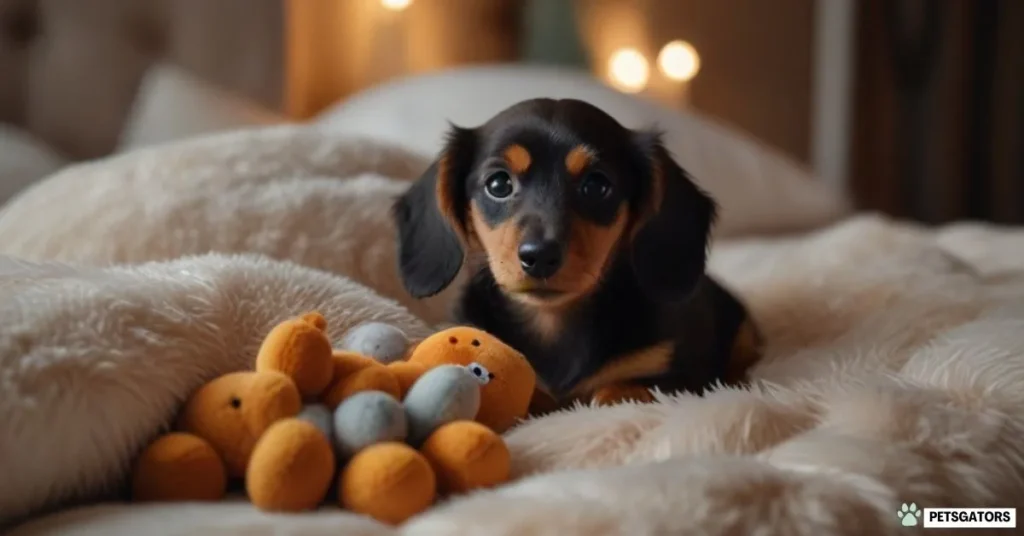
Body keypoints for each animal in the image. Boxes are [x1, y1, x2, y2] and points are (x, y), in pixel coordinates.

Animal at [391, 97, 761, 407]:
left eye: (596, 185)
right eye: (498, 184)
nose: (540, 256)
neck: (554, 322)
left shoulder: (681, 373)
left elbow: (633, 385)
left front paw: (614, 396)